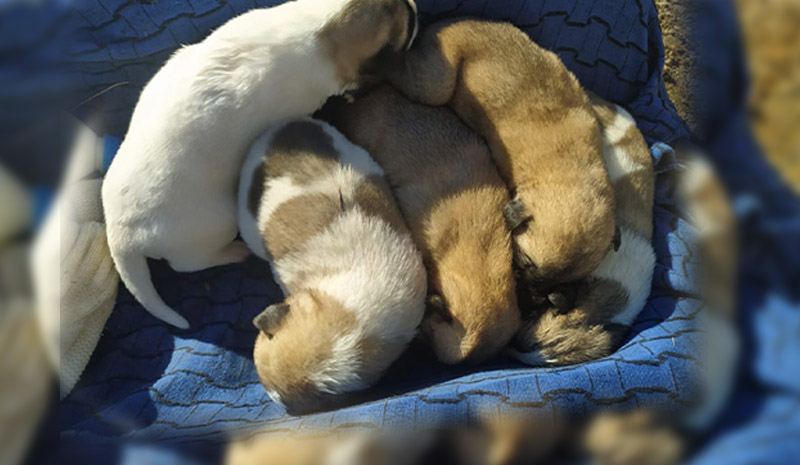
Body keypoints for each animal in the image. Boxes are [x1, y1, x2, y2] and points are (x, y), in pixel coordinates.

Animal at [384, 19, 616, 294]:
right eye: (525, 262)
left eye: (567, 283)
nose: (536, 295)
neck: (572, 166)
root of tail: (446, 26)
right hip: (435, 86)